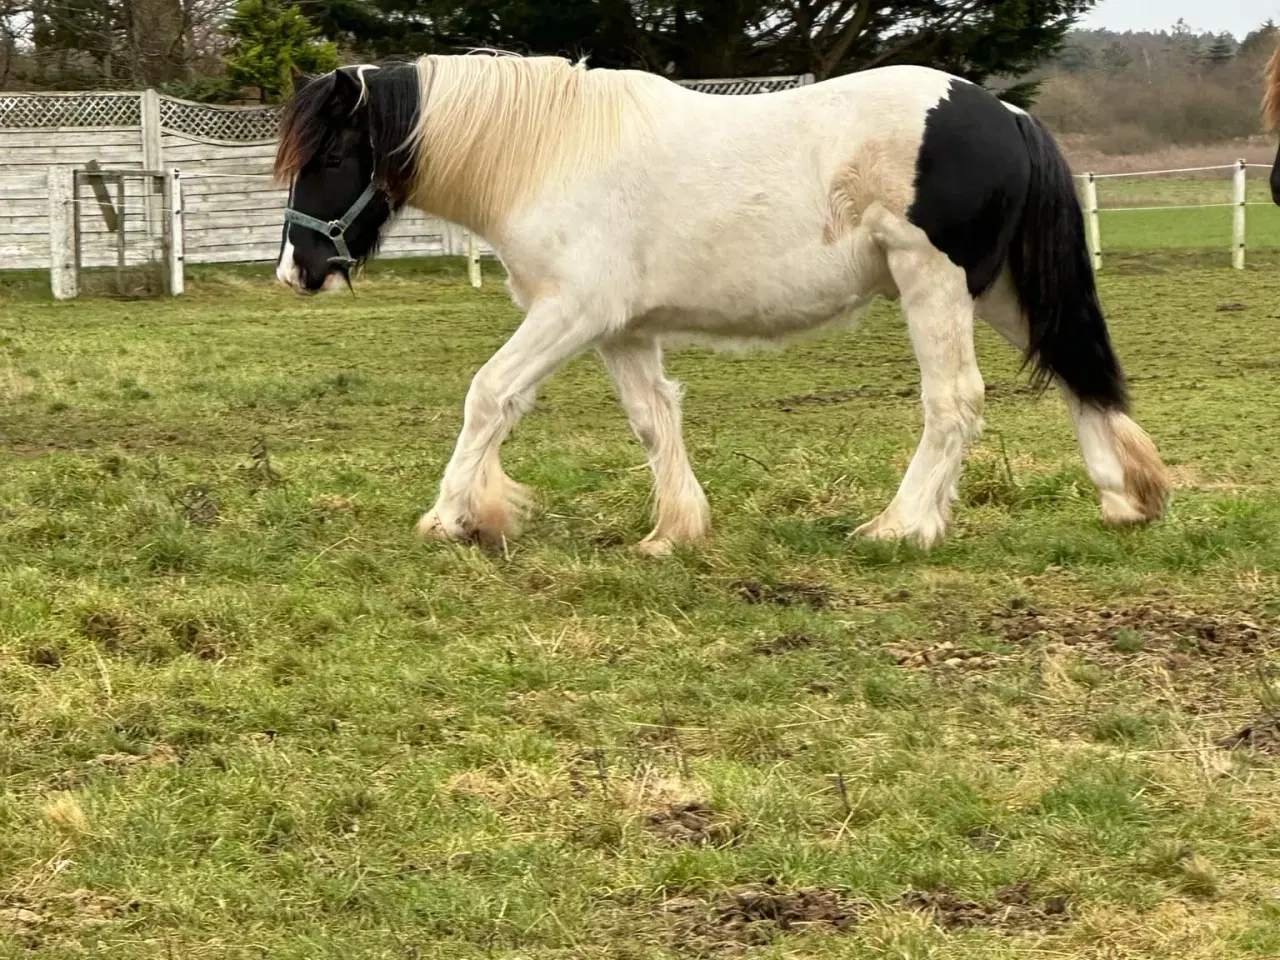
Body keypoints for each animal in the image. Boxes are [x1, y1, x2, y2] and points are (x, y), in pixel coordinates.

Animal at [272, 54, 1172, 555]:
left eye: (335, 155)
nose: (297, 270)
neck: (548, 152)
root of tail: (1008, 113)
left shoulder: (571, 313)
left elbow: (490, 395)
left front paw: (452, 517)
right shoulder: (620, 329)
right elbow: (652, 420)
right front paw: (673, 531)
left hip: (935, 282)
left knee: (954, 401)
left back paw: (902, 527)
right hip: (1003, 290)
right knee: (1074, 366)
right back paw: (1123, 498)